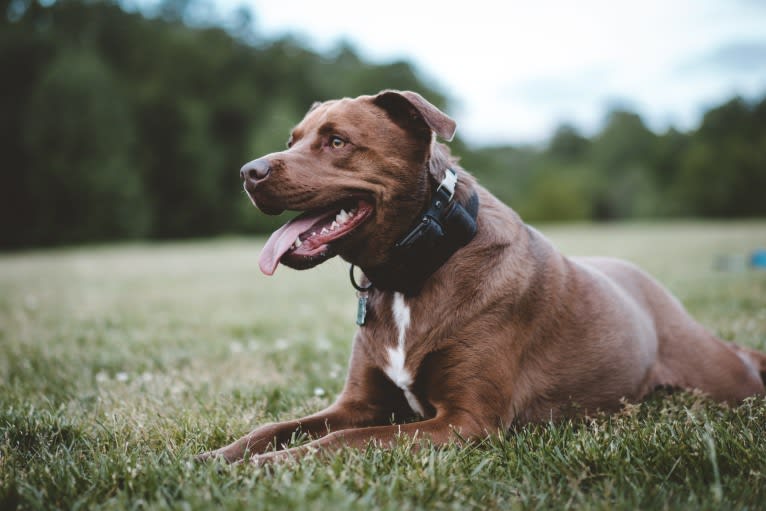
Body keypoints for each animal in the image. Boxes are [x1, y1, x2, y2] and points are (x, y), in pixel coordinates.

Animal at [201, 90, 766, 466]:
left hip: (719, 378)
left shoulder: (465, 421)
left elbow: (345, 442)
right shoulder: (359, 404)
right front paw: (217, 457)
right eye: (292, 140)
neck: (414, 268)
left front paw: (266, 468)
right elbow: (275, 426)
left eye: (337, 141)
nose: (248, 172)